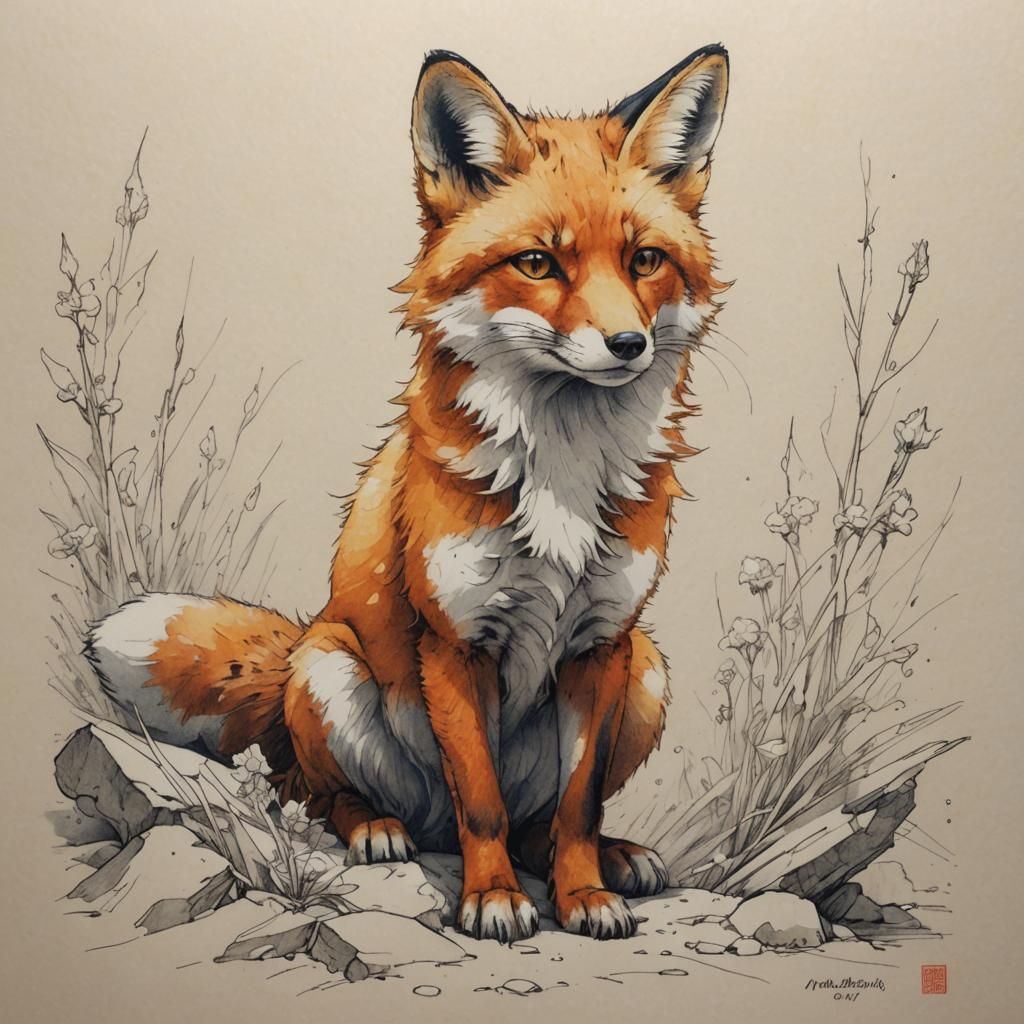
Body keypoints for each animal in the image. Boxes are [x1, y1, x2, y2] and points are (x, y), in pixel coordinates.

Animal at [85, 45, 730, 943]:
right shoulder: (455, 642)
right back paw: (376, 829)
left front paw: (582, 896)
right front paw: (491, 899)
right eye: (539, 263)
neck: (562, 478)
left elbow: (576, 809)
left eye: (644, 261)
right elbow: (482, 802)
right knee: (321, 798)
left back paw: (617, 859)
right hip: (328, 671)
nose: (627, 343)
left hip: (648, 669)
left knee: (543, 822)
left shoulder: (601, 644)